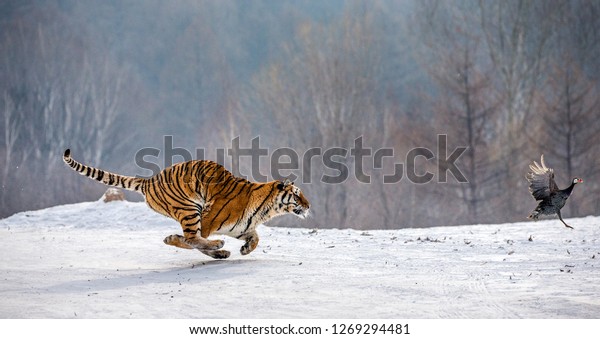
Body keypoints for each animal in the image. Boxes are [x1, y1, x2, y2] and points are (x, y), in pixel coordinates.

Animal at [63, 149, 312, 260]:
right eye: (297, 195)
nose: (309, 205)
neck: (266, 210)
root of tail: (150, 179)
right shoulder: (209, 221)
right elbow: (193, 241)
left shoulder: (240, 228)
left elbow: (256, 237)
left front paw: (245, 249)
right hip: (191, 208)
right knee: (192, 238)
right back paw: (216, 246)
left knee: (193, 239)